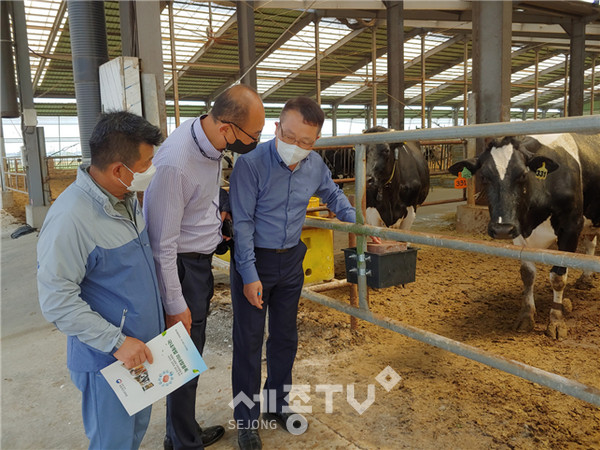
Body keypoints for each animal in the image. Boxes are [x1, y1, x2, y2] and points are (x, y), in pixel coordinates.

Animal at [450, 132, 600, 340]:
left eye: (522, 174)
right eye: (484, 176)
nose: (501, 228)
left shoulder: (571, 226)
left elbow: (558, 277)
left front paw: (556, 321)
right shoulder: (519, 231)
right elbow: (527, 274)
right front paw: (527, 316)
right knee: (591, 243)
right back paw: (586, 279)